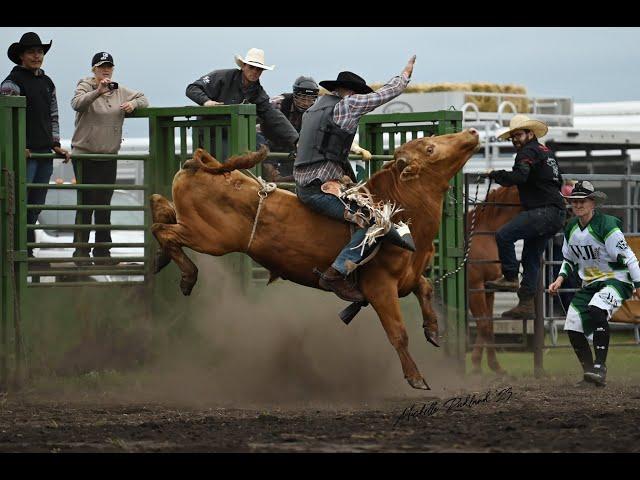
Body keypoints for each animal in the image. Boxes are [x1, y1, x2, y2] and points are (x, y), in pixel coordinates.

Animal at [151, 128, 480, 390]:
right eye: (430, 148)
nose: (472, 132)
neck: (398, 211)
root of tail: (199, 165)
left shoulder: (409, 279)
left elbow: (425, 288)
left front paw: (433, 330)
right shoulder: (380, 287)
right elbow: (398, 333)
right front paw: (416, 378)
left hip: (198, 228)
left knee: (161, 208)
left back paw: (160, 258)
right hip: (210, 238)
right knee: (163, 230)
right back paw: (186, 275)